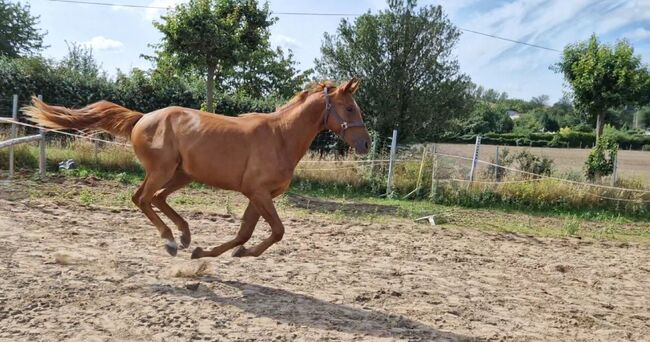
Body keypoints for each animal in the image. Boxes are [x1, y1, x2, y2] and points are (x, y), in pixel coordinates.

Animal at [24, 79, 370, 258]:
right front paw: (232, 253)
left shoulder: (259, 195)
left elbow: (246, 232)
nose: (366, 144)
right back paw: (170, 240)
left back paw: (186, 236)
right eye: (349, 108)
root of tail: (142, 118)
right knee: (142, 199)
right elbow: (277, 230)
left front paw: (212, 253)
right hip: (162, 170)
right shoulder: (258, 192)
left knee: (156, 199)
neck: (280, 136)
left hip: (182, 174)